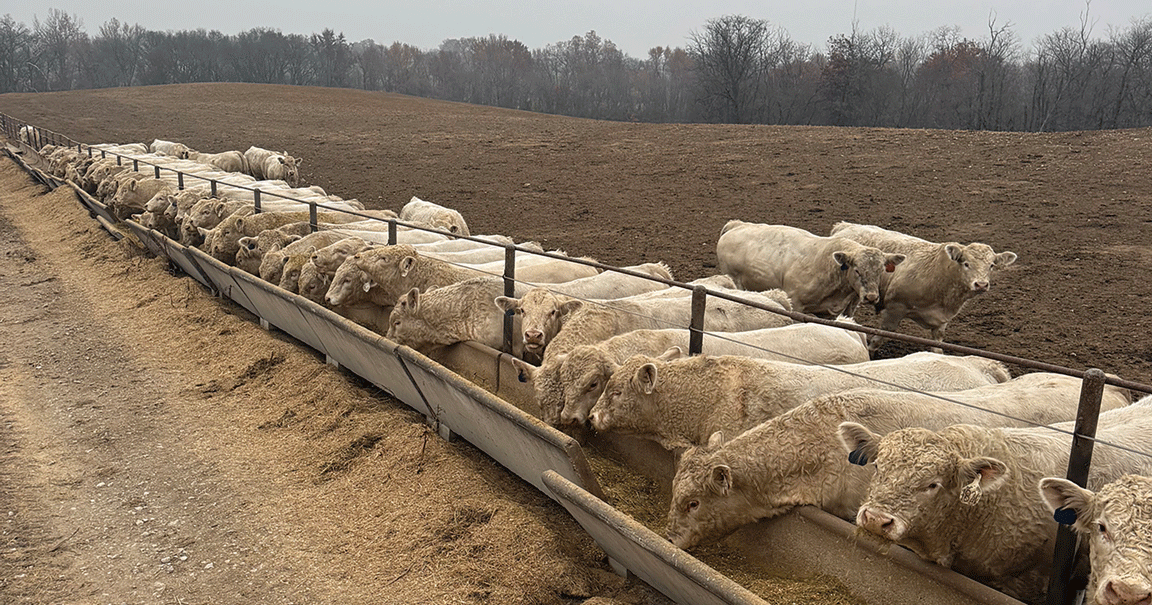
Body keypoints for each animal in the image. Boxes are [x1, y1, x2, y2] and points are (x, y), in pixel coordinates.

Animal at [717, 221, 905, 317]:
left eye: (880, 271)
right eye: (857, 270)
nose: (871, 297)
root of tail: (736, 225)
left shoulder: (831, 313)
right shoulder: (796, 306)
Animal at [830, 221, 1017, 352]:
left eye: (991, 265)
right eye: (966, 263)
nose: (981, 284)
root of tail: (845, 226)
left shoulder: (941, 321)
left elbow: (937, 347)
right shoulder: (895, 309)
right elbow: (878, 340)